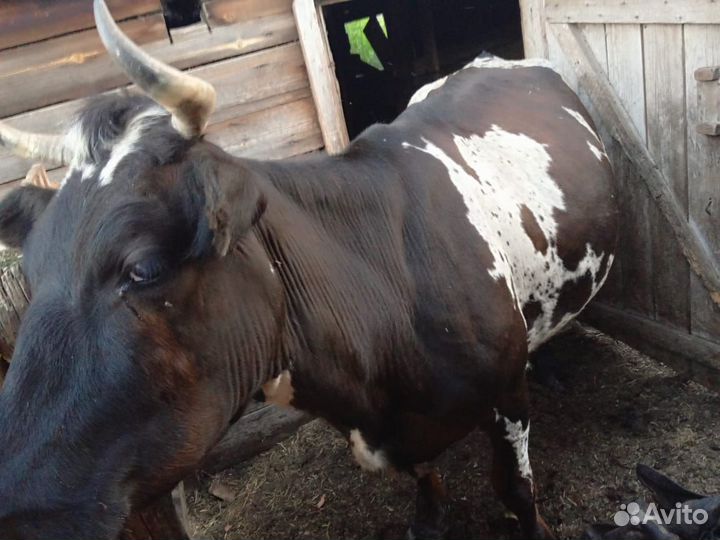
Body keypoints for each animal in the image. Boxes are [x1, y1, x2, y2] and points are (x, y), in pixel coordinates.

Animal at [0, 1, 618, 538]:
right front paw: (428, 518)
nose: (17, 507)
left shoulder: (505, 393)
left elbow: (514, 489)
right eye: (31, 269)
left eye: (144, 268)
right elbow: (425, 481)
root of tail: (494, 58)